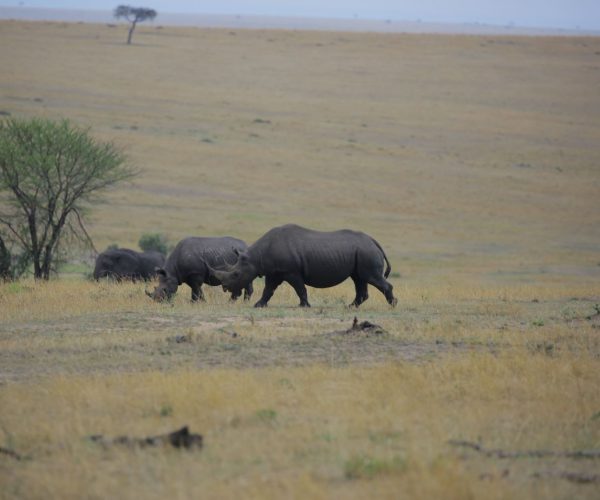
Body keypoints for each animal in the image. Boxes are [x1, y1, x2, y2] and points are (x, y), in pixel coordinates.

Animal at [207, 224, 398, 308]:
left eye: (236, 274)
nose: (225, 287)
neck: (256, 258)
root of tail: (373, 241)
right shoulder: (274, 272)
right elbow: (268, 290)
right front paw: (259, 305)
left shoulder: (291, 271)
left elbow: (300, 288)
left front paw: (304, 306)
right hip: (362, 251)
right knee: (359, 279)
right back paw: (350, 307)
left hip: (366, 251)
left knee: (370, 277)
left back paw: (392, 305)